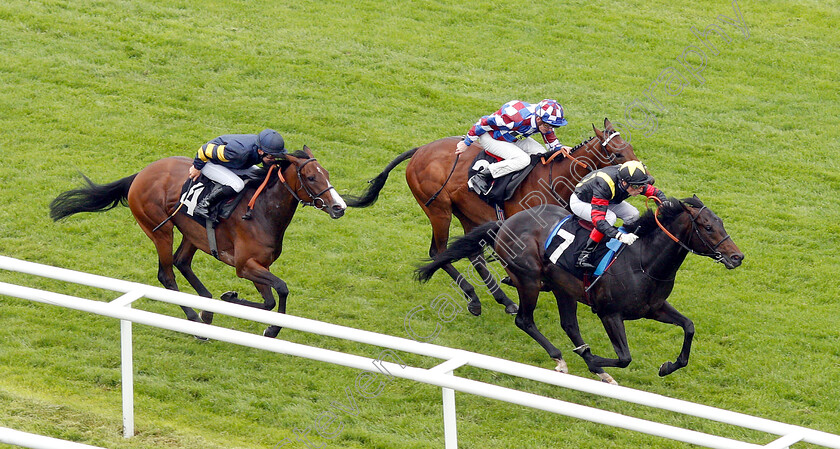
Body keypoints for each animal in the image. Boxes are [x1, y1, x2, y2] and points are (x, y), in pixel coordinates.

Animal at [49, 147, 346, 336]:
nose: (339, 207)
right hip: (161, 230)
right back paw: (194, 318)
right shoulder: (245, 266)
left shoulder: (259, 265)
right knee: (167, 274)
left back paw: (206, 309)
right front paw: (271, 329)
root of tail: (140, 174)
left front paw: (229, 298)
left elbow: (270, 300)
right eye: (311, 177)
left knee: (182, 262)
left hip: (193, 233)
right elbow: (281, 289)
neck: (262, 210)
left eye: (327, 174)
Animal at [346, 118, 636, 316]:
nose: (642, 177)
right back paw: (474, 297)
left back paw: (502, 300)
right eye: (618, 153)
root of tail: (420, 150)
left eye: (631, 148)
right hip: (439, 210)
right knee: (438, 252)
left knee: (472, 254)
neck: (555, 180)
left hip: (467, 213)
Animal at [416, 198, 744, 384]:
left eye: (721, 222)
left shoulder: (654, 308)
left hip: (564, 288)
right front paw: (595, 359)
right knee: (525, 320)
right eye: (707, 227)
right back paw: (563, 358)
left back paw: (591, 366)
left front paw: (668, 366)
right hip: (529, 279)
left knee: (569, 325)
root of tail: (506, 222)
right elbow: (624, 357)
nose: (737, 256)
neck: (643, 261)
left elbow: (688, 326)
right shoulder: (609, 313)